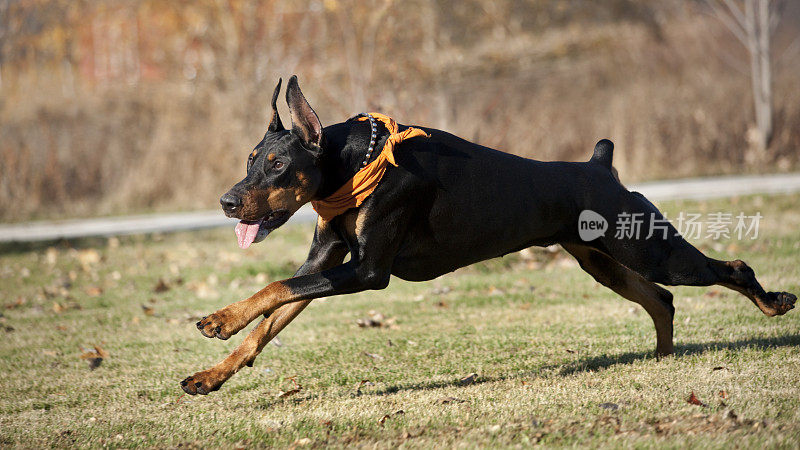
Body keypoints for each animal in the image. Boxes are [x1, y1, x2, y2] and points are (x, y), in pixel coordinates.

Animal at [180, 76, 792, 394]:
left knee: (724, 270)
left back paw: (774, 303)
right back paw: (662, 360)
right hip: (601, 258)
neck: (351, 169)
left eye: (278, 165)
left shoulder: (367, 272)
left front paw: (218, 320)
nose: (226, 201)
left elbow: (274, 289)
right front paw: (211, 374)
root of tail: (600, 166)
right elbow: (273, 312)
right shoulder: (327, 262)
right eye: (250, 159)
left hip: (649, 246)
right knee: (659, 298)